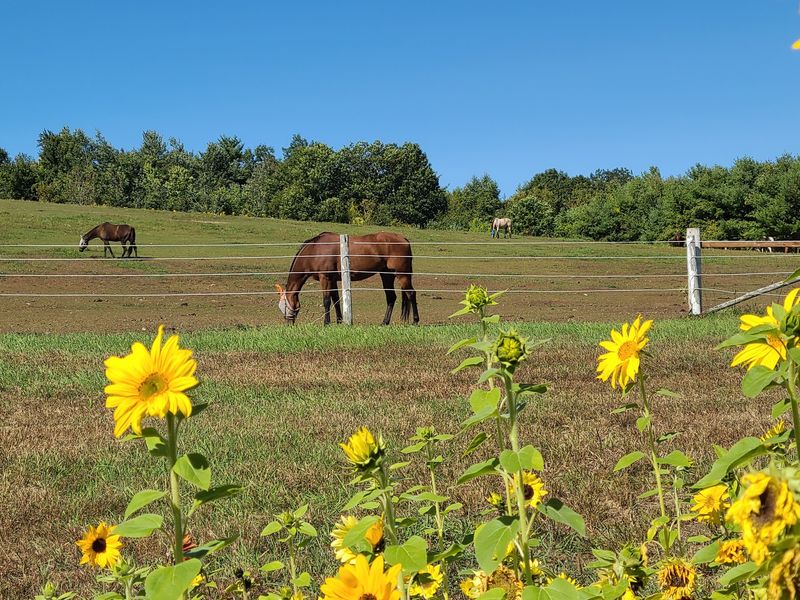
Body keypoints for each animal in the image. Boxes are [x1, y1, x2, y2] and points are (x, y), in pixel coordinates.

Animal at [275, 231, 419, 325]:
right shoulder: (332, 279)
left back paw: (415, 321)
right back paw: (384, 322)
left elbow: (326, 301)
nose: (288, 324)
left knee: (411, 293)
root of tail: (404, 239)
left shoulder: (325, 278)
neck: (315, 250)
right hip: (386, 275)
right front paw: (339, 321)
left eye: (285, 306)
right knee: (391, 298)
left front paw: (326, 323)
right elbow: (335, 300)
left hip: (402, 275)